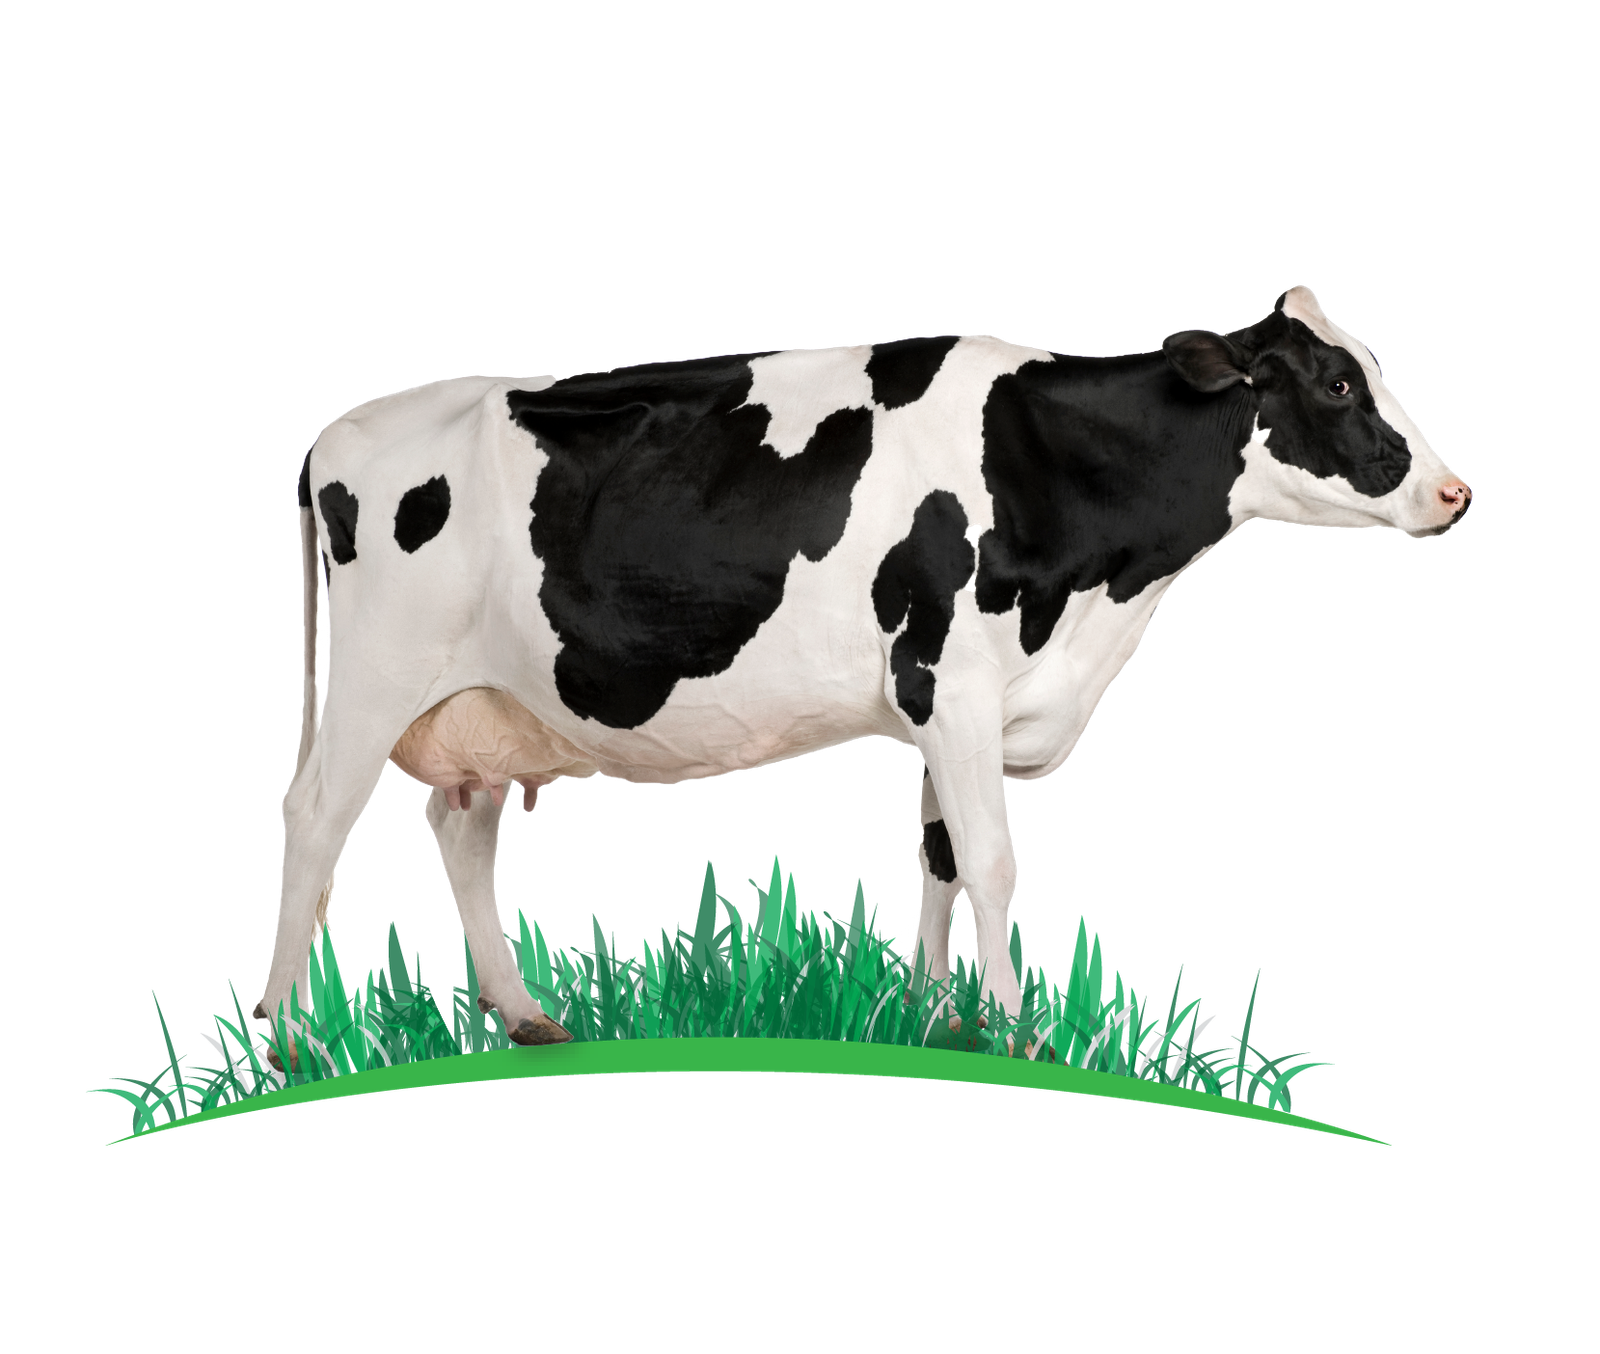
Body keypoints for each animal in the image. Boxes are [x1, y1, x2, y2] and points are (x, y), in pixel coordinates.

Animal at [255, 284, 1471, 1072]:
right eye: (1333, 382)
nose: (1455, 492)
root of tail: (338, 431)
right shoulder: (953, 682)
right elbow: (995, 863)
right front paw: (1018, 1029)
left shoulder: (948, 708)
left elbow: (939, 859)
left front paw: (937, 1020)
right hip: (369, 683)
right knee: (316, 819)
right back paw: (295, 1034)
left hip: (487, 708)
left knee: (459, 828)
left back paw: (521, 1017)